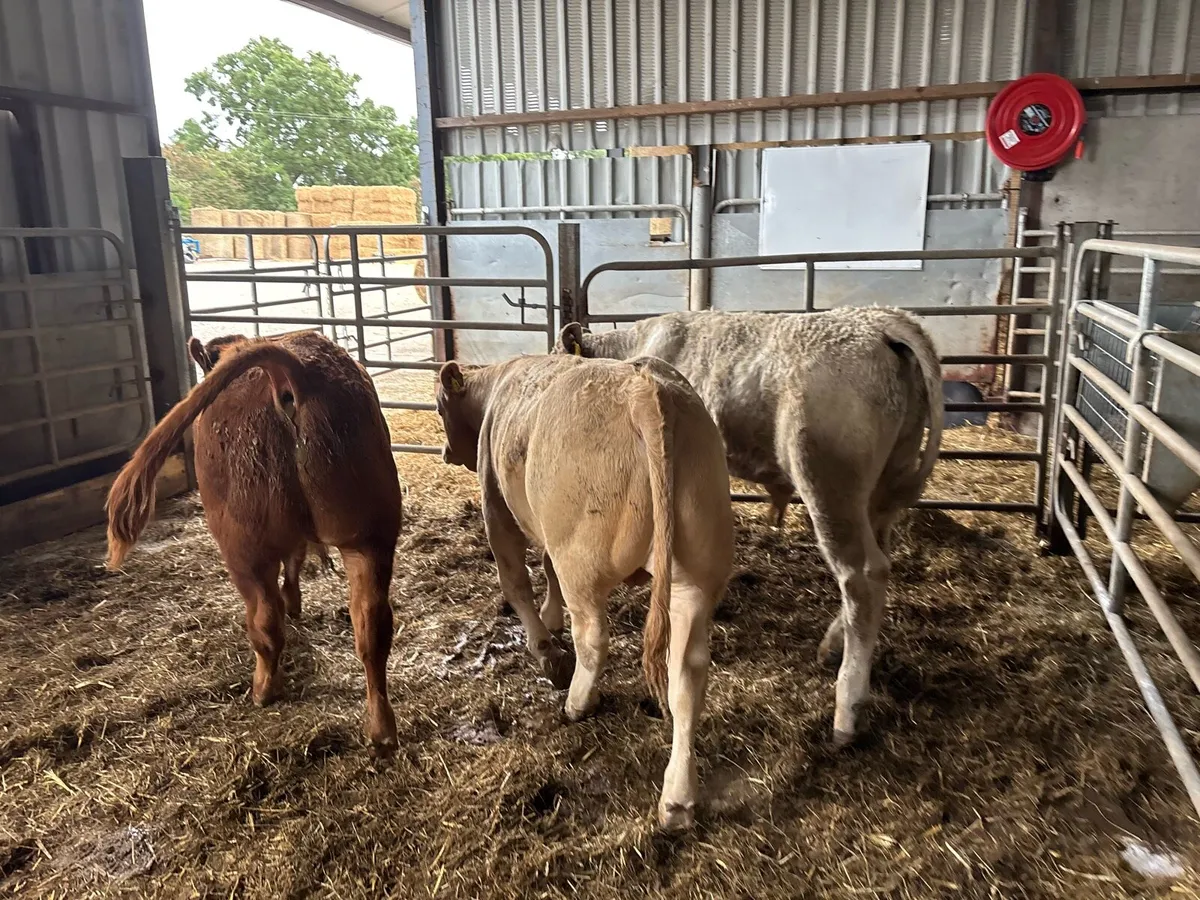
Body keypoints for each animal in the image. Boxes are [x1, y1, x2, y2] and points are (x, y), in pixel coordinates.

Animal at [106, 330, 402, 754]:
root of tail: (288, 370)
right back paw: (381, 729)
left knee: (265, 622)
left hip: (244, 547)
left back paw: (262, 689)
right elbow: (296, 561)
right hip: (369, 536)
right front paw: (295, 601)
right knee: (372, 627)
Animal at [435, 353, 734, 829]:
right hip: (696, 575)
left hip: (581, 558)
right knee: (687, 673)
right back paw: (677, 799)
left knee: (592, 637)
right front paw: (551, 617)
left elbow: (515, 580)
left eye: (440, 407)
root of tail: (642, 389)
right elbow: (546, 571)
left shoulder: (496, 505)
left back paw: (577, 701)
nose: (446, 452)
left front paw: (545, 648)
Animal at [558, 307, 944, 748]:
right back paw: (833, 644)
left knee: (863, 576)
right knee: (876, 565)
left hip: (827, 483)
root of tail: (880, 320)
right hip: (880, 493)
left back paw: (847, 708)